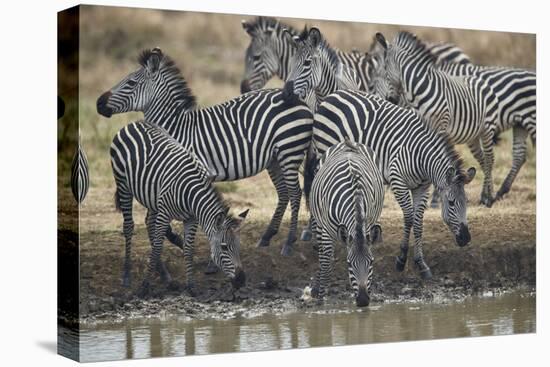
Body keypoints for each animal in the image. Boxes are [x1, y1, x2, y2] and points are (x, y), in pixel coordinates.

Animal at [98, 48, 314, 256]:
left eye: (131, 83)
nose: (99, 103)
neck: (176, 129)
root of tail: (300, 101)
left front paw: (180, 240)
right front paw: (176, 240)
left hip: (289, 151)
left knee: (295, 193)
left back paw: (289, 243)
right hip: (274, 158)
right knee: (284, 193)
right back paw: (267, 236)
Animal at [110, 121, 248, 296]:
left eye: (238, 246)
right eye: (224, 247)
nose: (241, 280)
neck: (191, 193)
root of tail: (133, 123)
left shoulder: (191, 218)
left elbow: (188, 249)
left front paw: (191, 287)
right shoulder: (165, 213)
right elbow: (157, 247)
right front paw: (144, 286)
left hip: (153, 198)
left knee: (149, 223)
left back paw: (165, 276)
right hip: (123, 185)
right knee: (128, 227)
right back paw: (127, 275)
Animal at [306, 90, 478, 280]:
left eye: (467, 202)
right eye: (451, 203)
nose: (466, 238)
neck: (422, 156)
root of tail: (332, 95)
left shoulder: (422, 187)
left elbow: (418, 222)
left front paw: (421, 263)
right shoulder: (398, 182)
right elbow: (409, 218)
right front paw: (401, 259)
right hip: (326, 151)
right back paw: (317, 239)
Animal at [310, 139, 384, 306]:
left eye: (371, 262)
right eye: (349, 264)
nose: (363, 301)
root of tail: (346, 142)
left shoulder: (367, 224)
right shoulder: (326, 232)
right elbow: (326, 264)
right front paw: (320, 301)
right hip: (318, 224)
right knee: (321, 255)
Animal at [376, 32, 500, 208]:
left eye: (385, 69)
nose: (391, 100)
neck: (418, 92)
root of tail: (481, 80)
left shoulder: (440, 125)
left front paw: (435, 199)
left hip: (487, 129)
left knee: (490, 160)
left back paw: (488, 198)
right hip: (473, 137)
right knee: (482, 160)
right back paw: (487, 195)